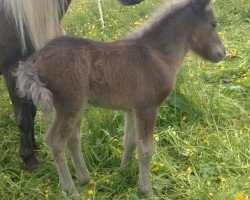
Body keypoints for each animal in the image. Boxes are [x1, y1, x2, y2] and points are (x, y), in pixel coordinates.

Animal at [16, 0, 226, 197]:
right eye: (213, 24)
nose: (222, 53)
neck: (157, 55)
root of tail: (34, 58)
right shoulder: (148, 109)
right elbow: (146, 149)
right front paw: (147, 190)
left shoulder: (133, 109)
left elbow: (130, 142)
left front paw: (123, 172)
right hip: (69, 105)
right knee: (56, 141)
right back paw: (71, 190)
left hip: (74, 107)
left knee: (73, 139)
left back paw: (85, 178)